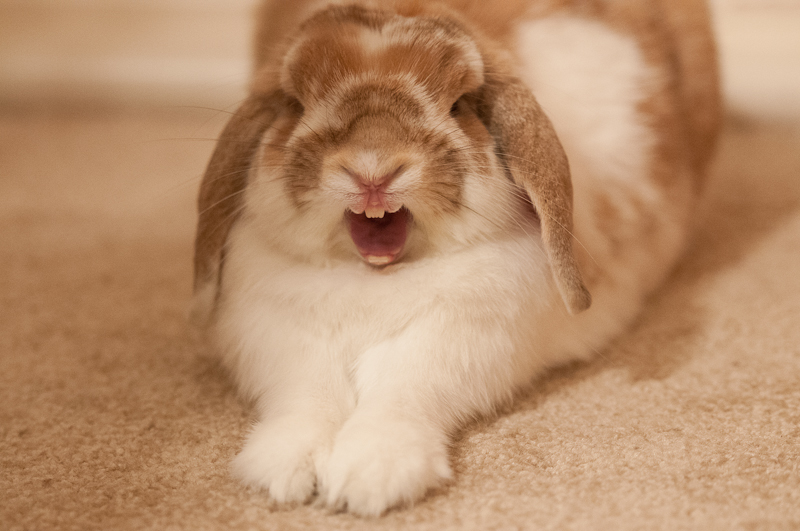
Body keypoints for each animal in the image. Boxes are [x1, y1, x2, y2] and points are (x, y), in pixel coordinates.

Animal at [191, 0, 720, 516]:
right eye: (295, 105)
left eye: (459, 105)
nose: (372, 169)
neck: (376, 278)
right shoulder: (283, 335)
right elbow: (306, 394)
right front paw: (285, 472)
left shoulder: (463, 336)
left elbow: (405, 388)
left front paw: (373, 477)